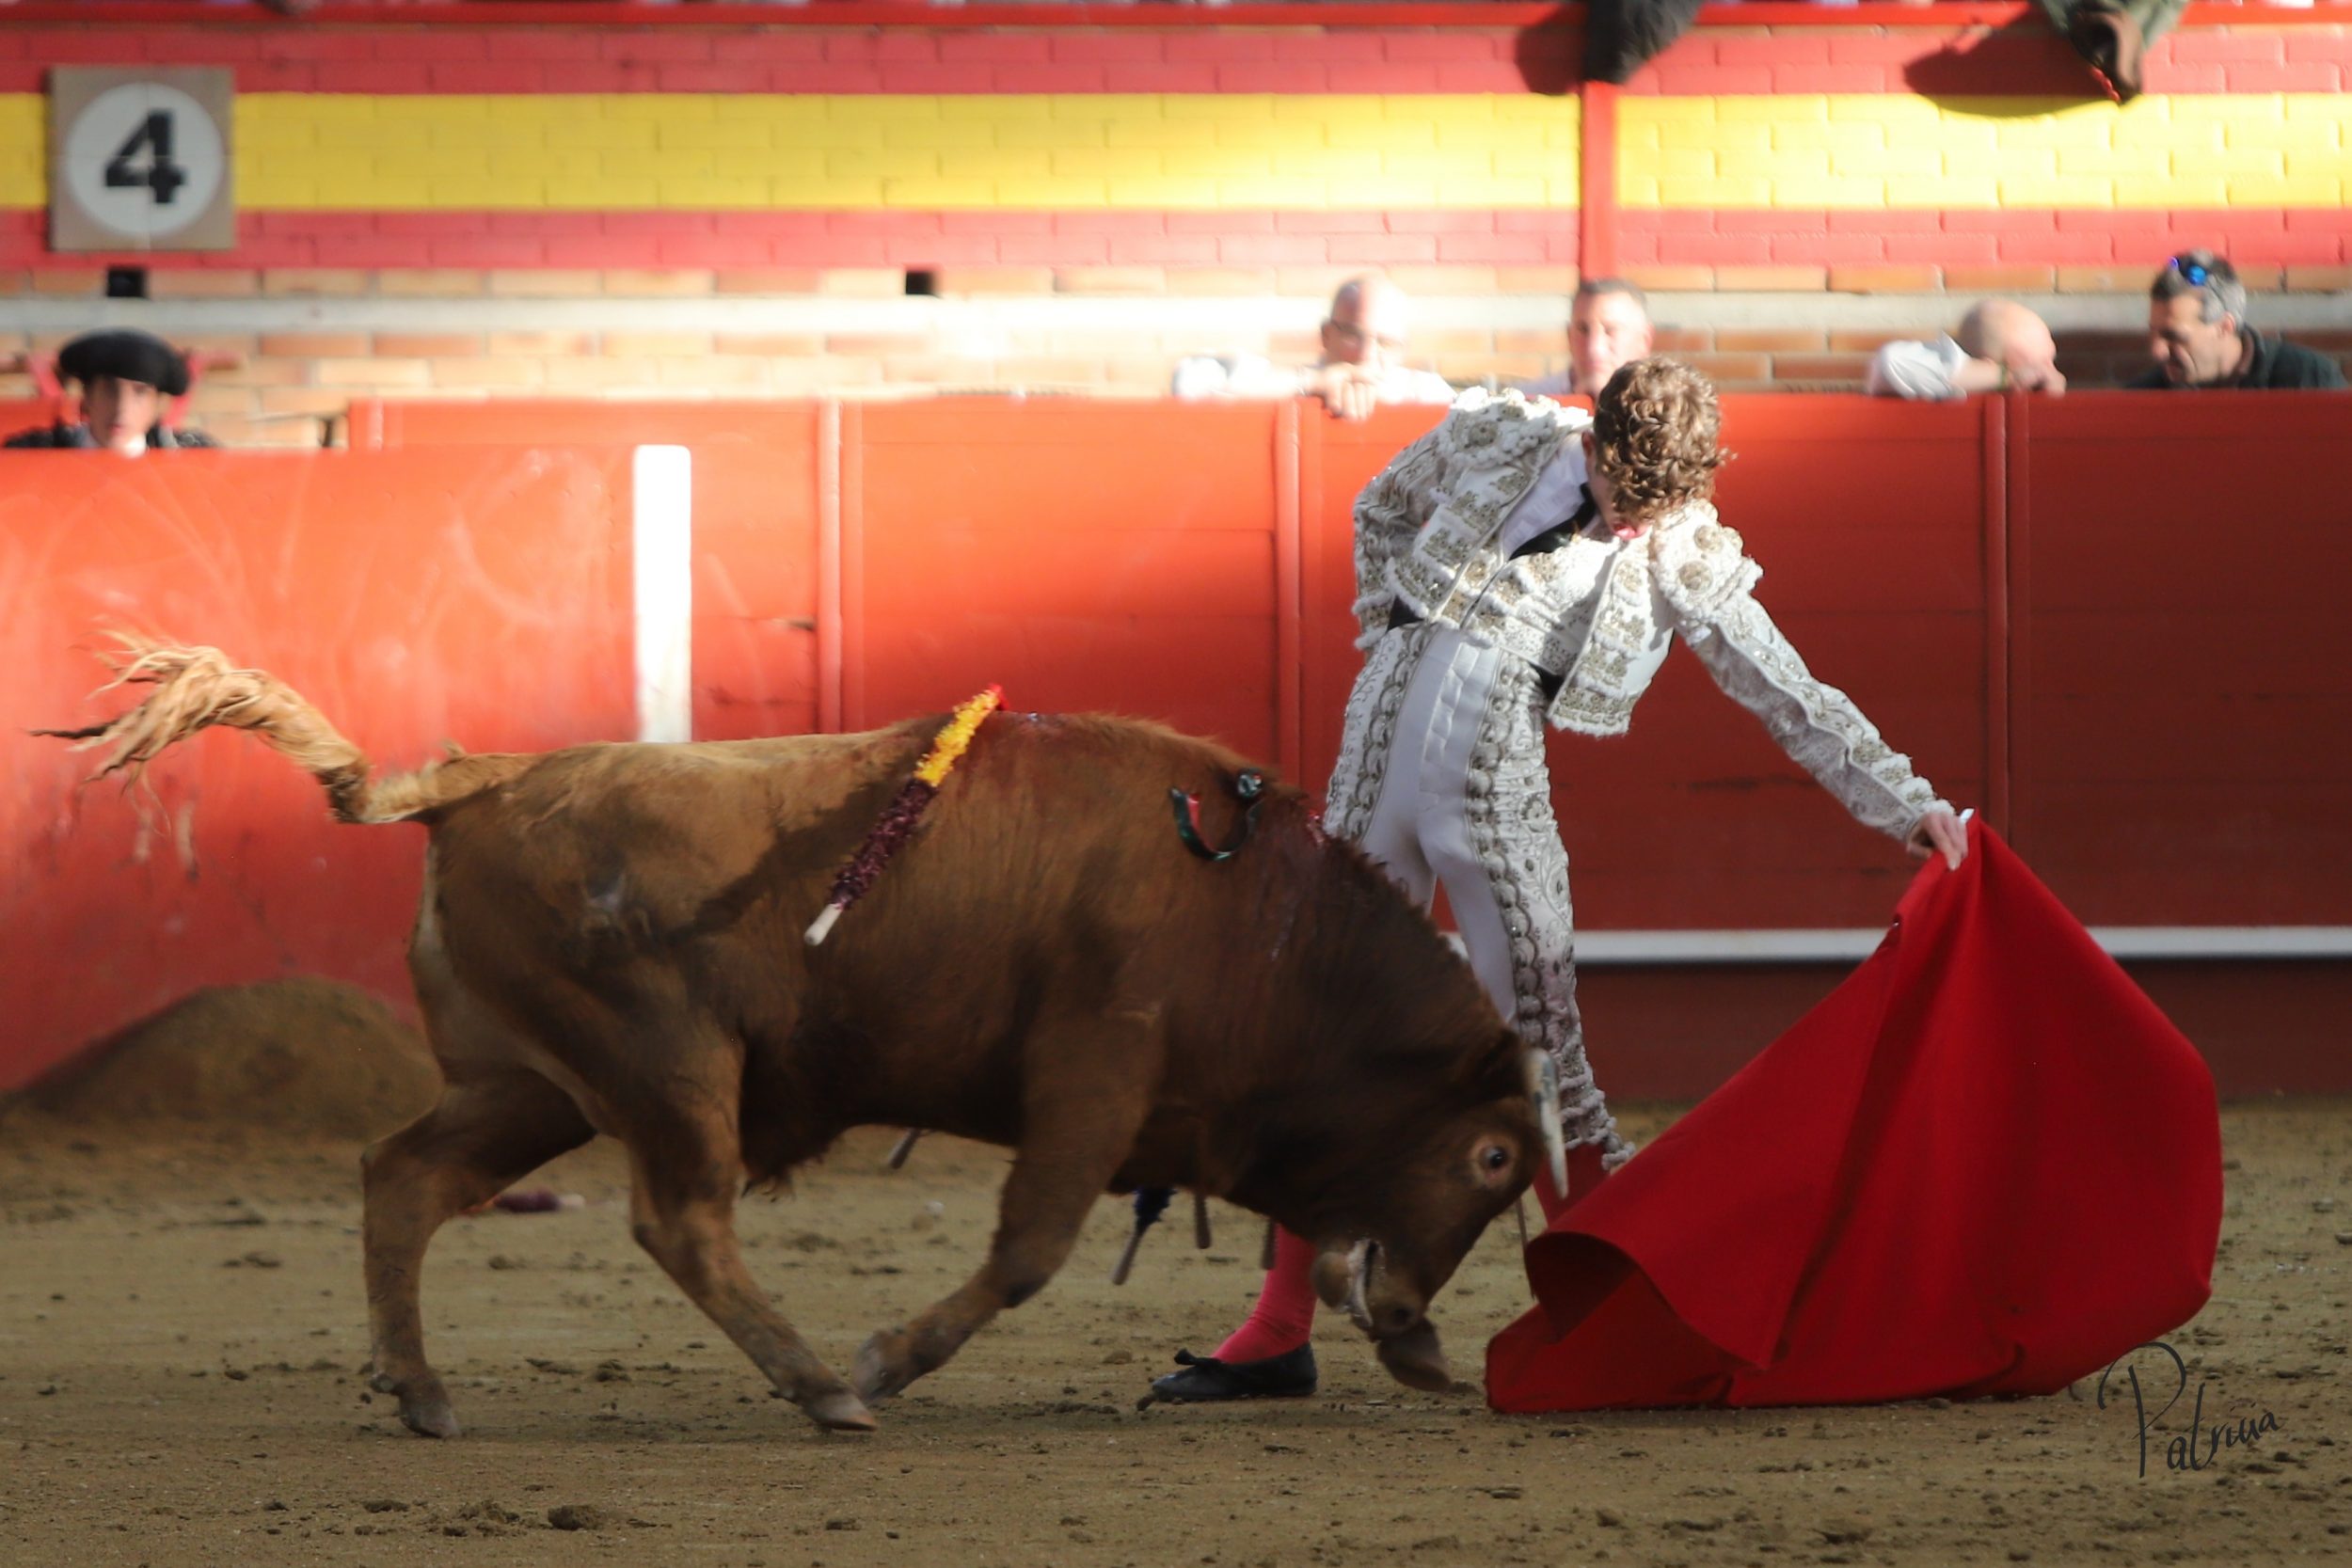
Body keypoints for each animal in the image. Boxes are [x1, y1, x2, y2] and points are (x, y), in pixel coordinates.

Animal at [40, 641, 1564, 1436]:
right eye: (1495, 1159)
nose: (1416, 1330)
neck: (1263, 924)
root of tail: (476, 782)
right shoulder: (1094, 1068)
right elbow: (1031, 1247)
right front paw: (890, 1356)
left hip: (536, 1084)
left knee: (404, 1173)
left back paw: (420, 1390)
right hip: (665, 1065)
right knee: (678, 1220)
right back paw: (825, 1383)